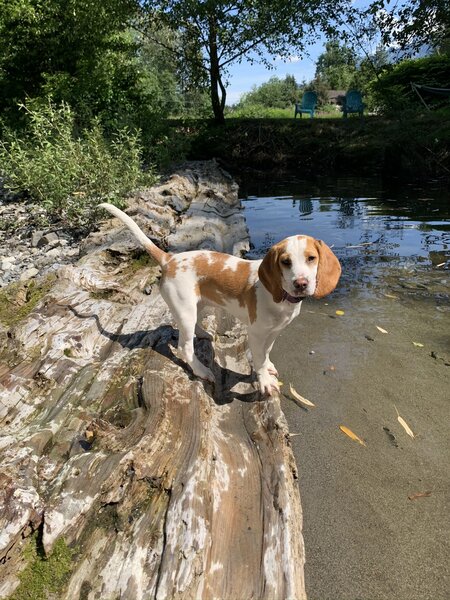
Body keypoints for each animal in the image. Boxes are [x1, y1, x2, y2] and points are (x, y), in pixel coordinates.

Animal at [100, 204, 342, 396]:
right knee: (184, 347)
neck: (282, 299)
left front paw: (268, 366)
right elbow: (259, 358)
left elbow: (266, 352)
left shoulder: (275, 331)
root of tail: (170, 259)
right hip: (186, 310)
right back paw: (202, 370)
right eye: (285, 262)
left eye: (311, 258)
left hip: (196, 305)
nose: (300, 284)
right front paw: (264, 381)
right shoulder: (255, 333)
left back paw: (203, 334)